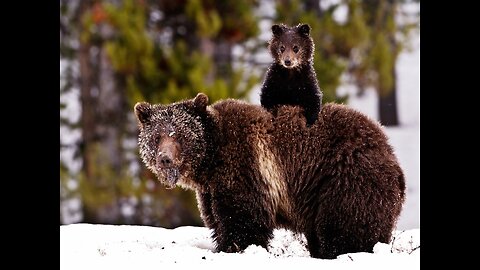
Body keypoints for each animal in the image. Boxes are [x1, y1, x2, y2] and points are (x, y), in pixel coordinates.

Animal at [132, 93, 404, 260]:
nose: (165, 159)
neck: (210, 160)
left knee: (346, 224)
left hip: (344, 177)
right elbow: (217, 220)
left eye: (180, 135)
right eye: (157, 136)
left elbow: (243, 219)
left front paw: (236, 248)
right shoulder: (210, 189)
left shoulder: (245, 166)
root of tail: (388, 147)